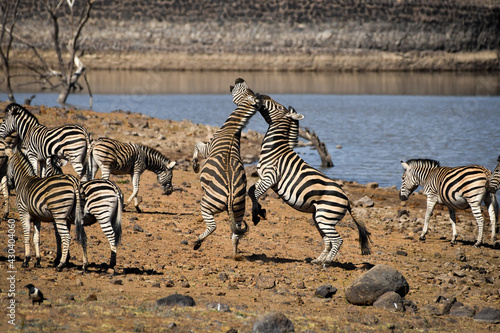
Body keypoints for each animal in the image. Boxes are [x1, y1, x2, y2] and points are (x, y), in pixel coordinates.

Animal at [191, 76, 262, 258]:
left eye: (243, 88)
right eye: (248, 88)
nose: (238, 78)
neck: (233, 129)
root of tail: (230, 197)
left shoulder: (207, 147)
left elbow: (196, 144)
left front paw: (195, 166)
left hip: (207, 204)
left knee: (212, 226)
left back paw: (197, 243)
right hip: (239, 210)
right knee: (236, 234)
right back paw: (235, 255)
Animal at [249, 95, 372, 264]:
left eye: (278, 106)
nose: (261, 95)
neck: (275, 148)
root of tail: (347, 200)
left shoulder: (270, 177)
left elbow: (254, 194)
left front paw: (256, 214)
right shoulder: (264, 178)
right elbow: (250, 191)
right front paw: (260, 211)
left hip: (325, 216)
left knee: (338, 240)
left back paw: (327, 262)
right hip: (320, 217)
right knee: (328, 240)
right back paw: (318, 260)